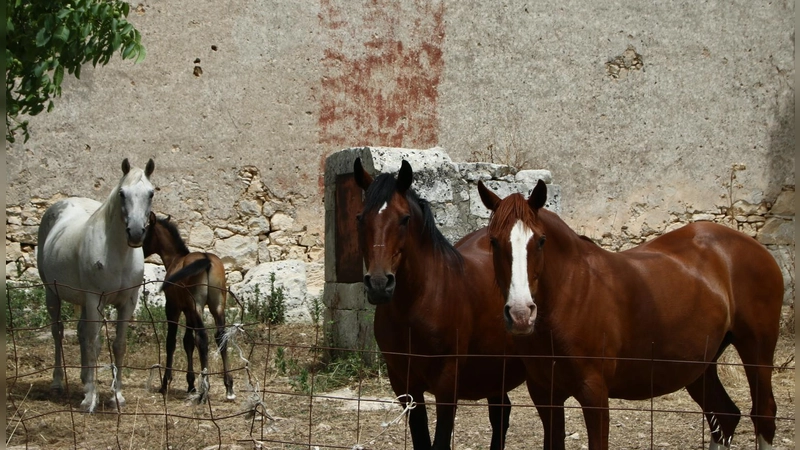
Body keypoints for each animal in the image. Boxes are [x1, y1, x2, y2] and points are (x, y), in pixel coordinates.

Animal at [37, 158, 155, 413]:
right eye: (122, 193)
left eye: (151, 193)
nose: (136, 233)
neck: (118, 254)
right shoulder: (94, 300)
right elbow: (95, 343)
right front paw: (90, 399)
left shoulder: (128, 302)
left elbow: (118, 345)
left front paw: (117, 396)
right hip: (52, 294)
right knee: (58, 333)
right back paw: (58, 383)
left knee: (81, 332)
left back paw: (83, 380)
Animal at [143, 212, 235, 402]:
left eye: (146, 231)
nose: (139, 249)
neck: (176, 259)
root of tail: (207, 261)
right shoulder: (188, 311)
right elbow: (188, 342)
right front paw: (190, 384)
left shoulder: (174, 308)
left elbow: (172, 342)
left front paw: (165, 384)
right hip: (217, 307)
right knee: (220, 336)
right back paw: (229, 388)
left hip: (197, 306)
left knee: (203, 338)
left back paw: (204, 391)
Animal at [353, 158, 526, 450]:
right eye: (360, 218)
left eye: (404, 219)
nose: (378, 284)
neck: (417, 303)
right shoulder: (405, 385)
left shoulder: (447, 385)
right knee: (500, 415)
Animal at [477, 179, 784, 450]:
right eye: (494, 241)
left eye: (540, 241)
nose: (520, 314)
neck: (570, 294)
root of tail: (756, 248)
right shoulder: (544, 393)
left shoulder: (594, 392)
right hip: (700, 365)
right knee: (725, 416)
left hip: (756, 350)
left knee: (764, 414)